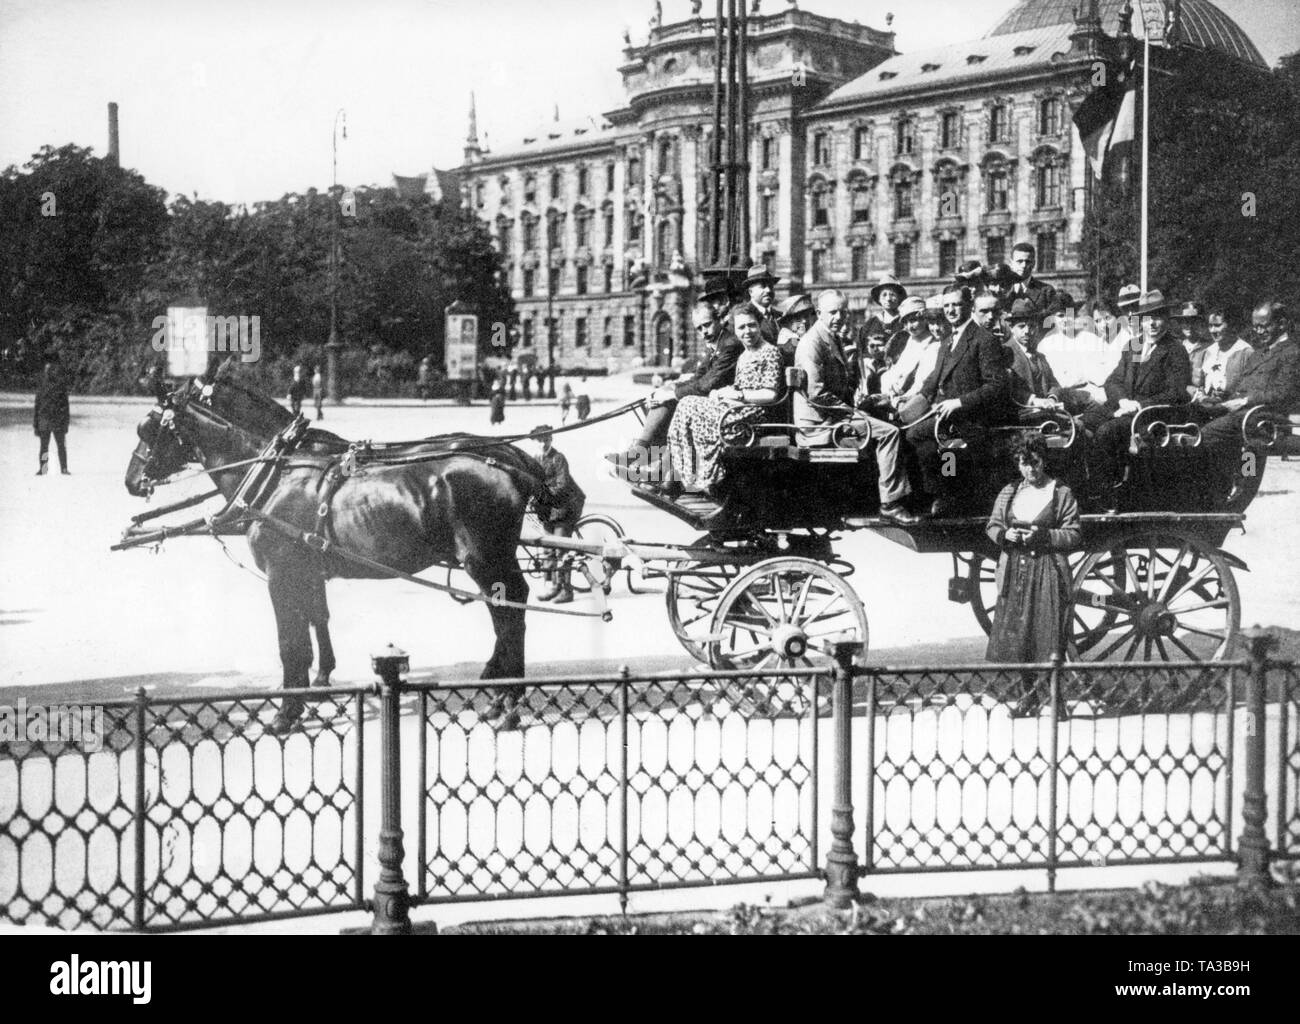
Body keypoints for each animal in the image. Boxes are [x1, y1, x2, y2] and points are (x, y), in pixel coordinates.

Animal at [125, 371, 543, 732]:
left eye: (148, 428)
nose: (131, 481)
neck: (278, 471)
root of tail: (510, 460)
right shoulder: (308, 571)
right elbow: (317, 622)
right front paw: (317, 683)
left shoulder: (281, 574)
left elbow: (290, 643)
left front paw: (287, 711)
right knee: (510, 611)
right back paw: (501, 693)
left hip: (487, 560)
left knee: (510, 616)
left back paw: (508, 703)